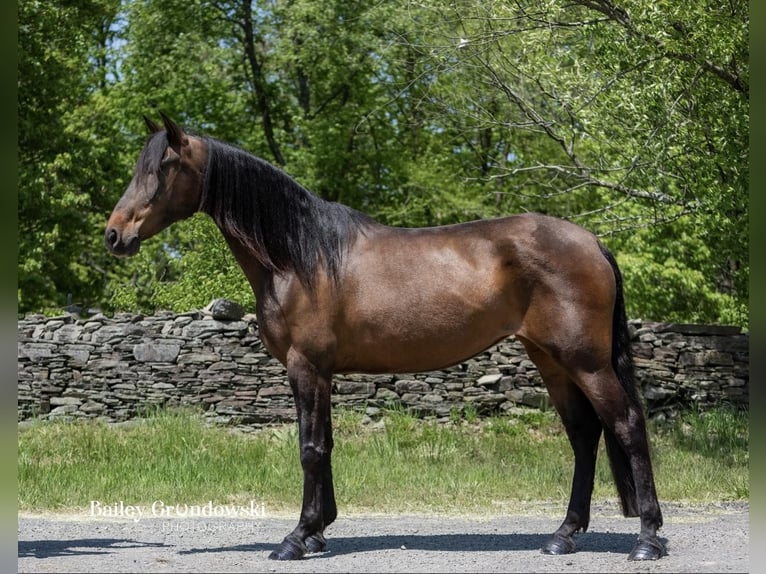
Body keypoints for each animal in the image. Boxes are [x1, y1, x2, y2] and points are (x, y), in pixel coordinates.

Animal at [106, 112, 664, 564]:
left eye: (161, 169)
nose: (115, 234)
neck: (299, 257)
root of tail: (592, 242)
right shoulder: (320, 372)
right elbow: (325, 444)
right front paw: (318, 532)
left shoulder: (305, 366)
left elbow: (310, 448)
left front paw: (296, 539)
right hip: (551, 359)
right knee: (584, 435)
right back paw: (563, 535)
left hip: (586, 361)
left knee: (627, 425)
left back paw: (647, 539)